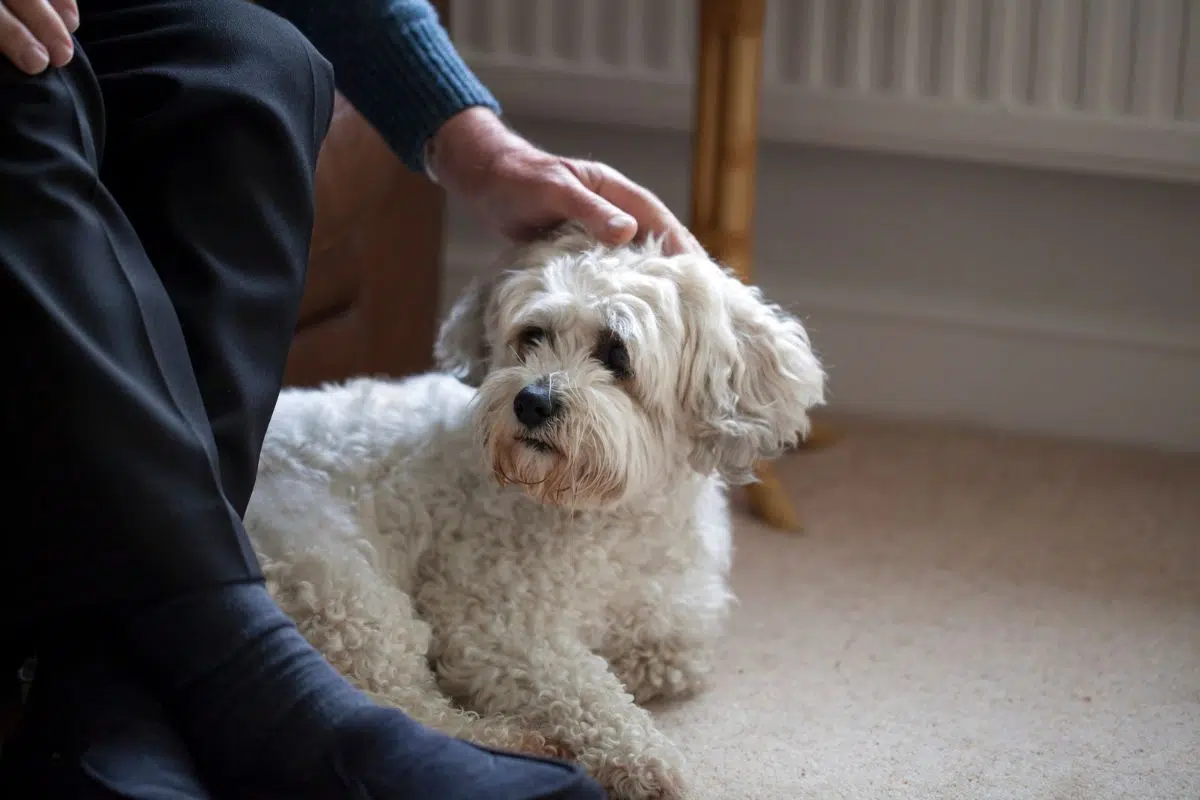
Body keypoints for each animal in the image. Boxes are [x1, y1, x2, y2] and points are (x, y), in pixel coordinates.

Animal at [243, 225, 825, 800]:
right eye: (533, 337)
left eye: (617, 354)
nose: (532, 401)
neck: (610, 511)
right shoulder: (495, 626)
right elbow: (585, 689)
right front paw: (641, 758)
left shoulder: (675, 623)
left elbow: (674, 659)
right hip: (342, 585)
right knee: (399, 704)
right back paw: (518, 746)